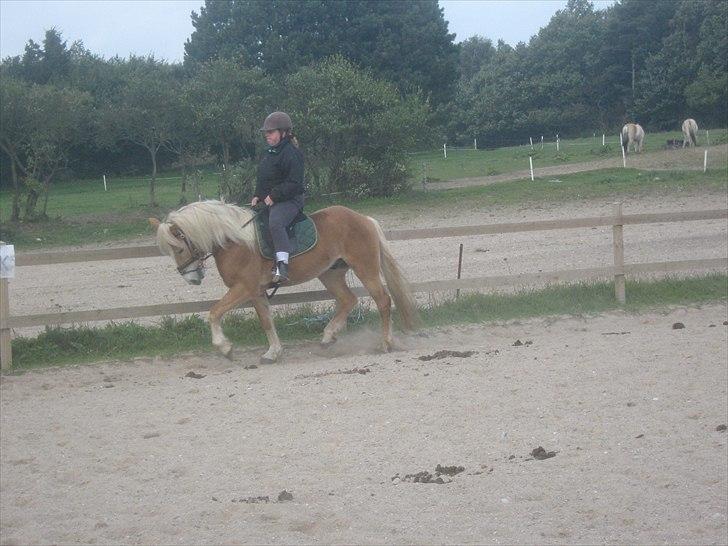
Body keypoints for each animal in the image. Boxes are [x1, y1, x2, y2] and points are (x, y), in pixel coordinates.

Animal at [148, 199, 418, 362]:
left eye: (178, 248)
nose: (191, 278)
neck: (234, 241)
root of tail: (363, 218)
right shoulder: (256, 292)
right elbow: (266, 321)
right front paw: (273, 352)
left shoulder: (244, 288)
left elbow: (215, 313)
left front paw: (225, 348)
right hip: (330, 273)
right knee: (348, 300)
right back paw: (328, 336)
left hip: (365, 268)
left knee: (383, 300)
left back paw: (385, 343)